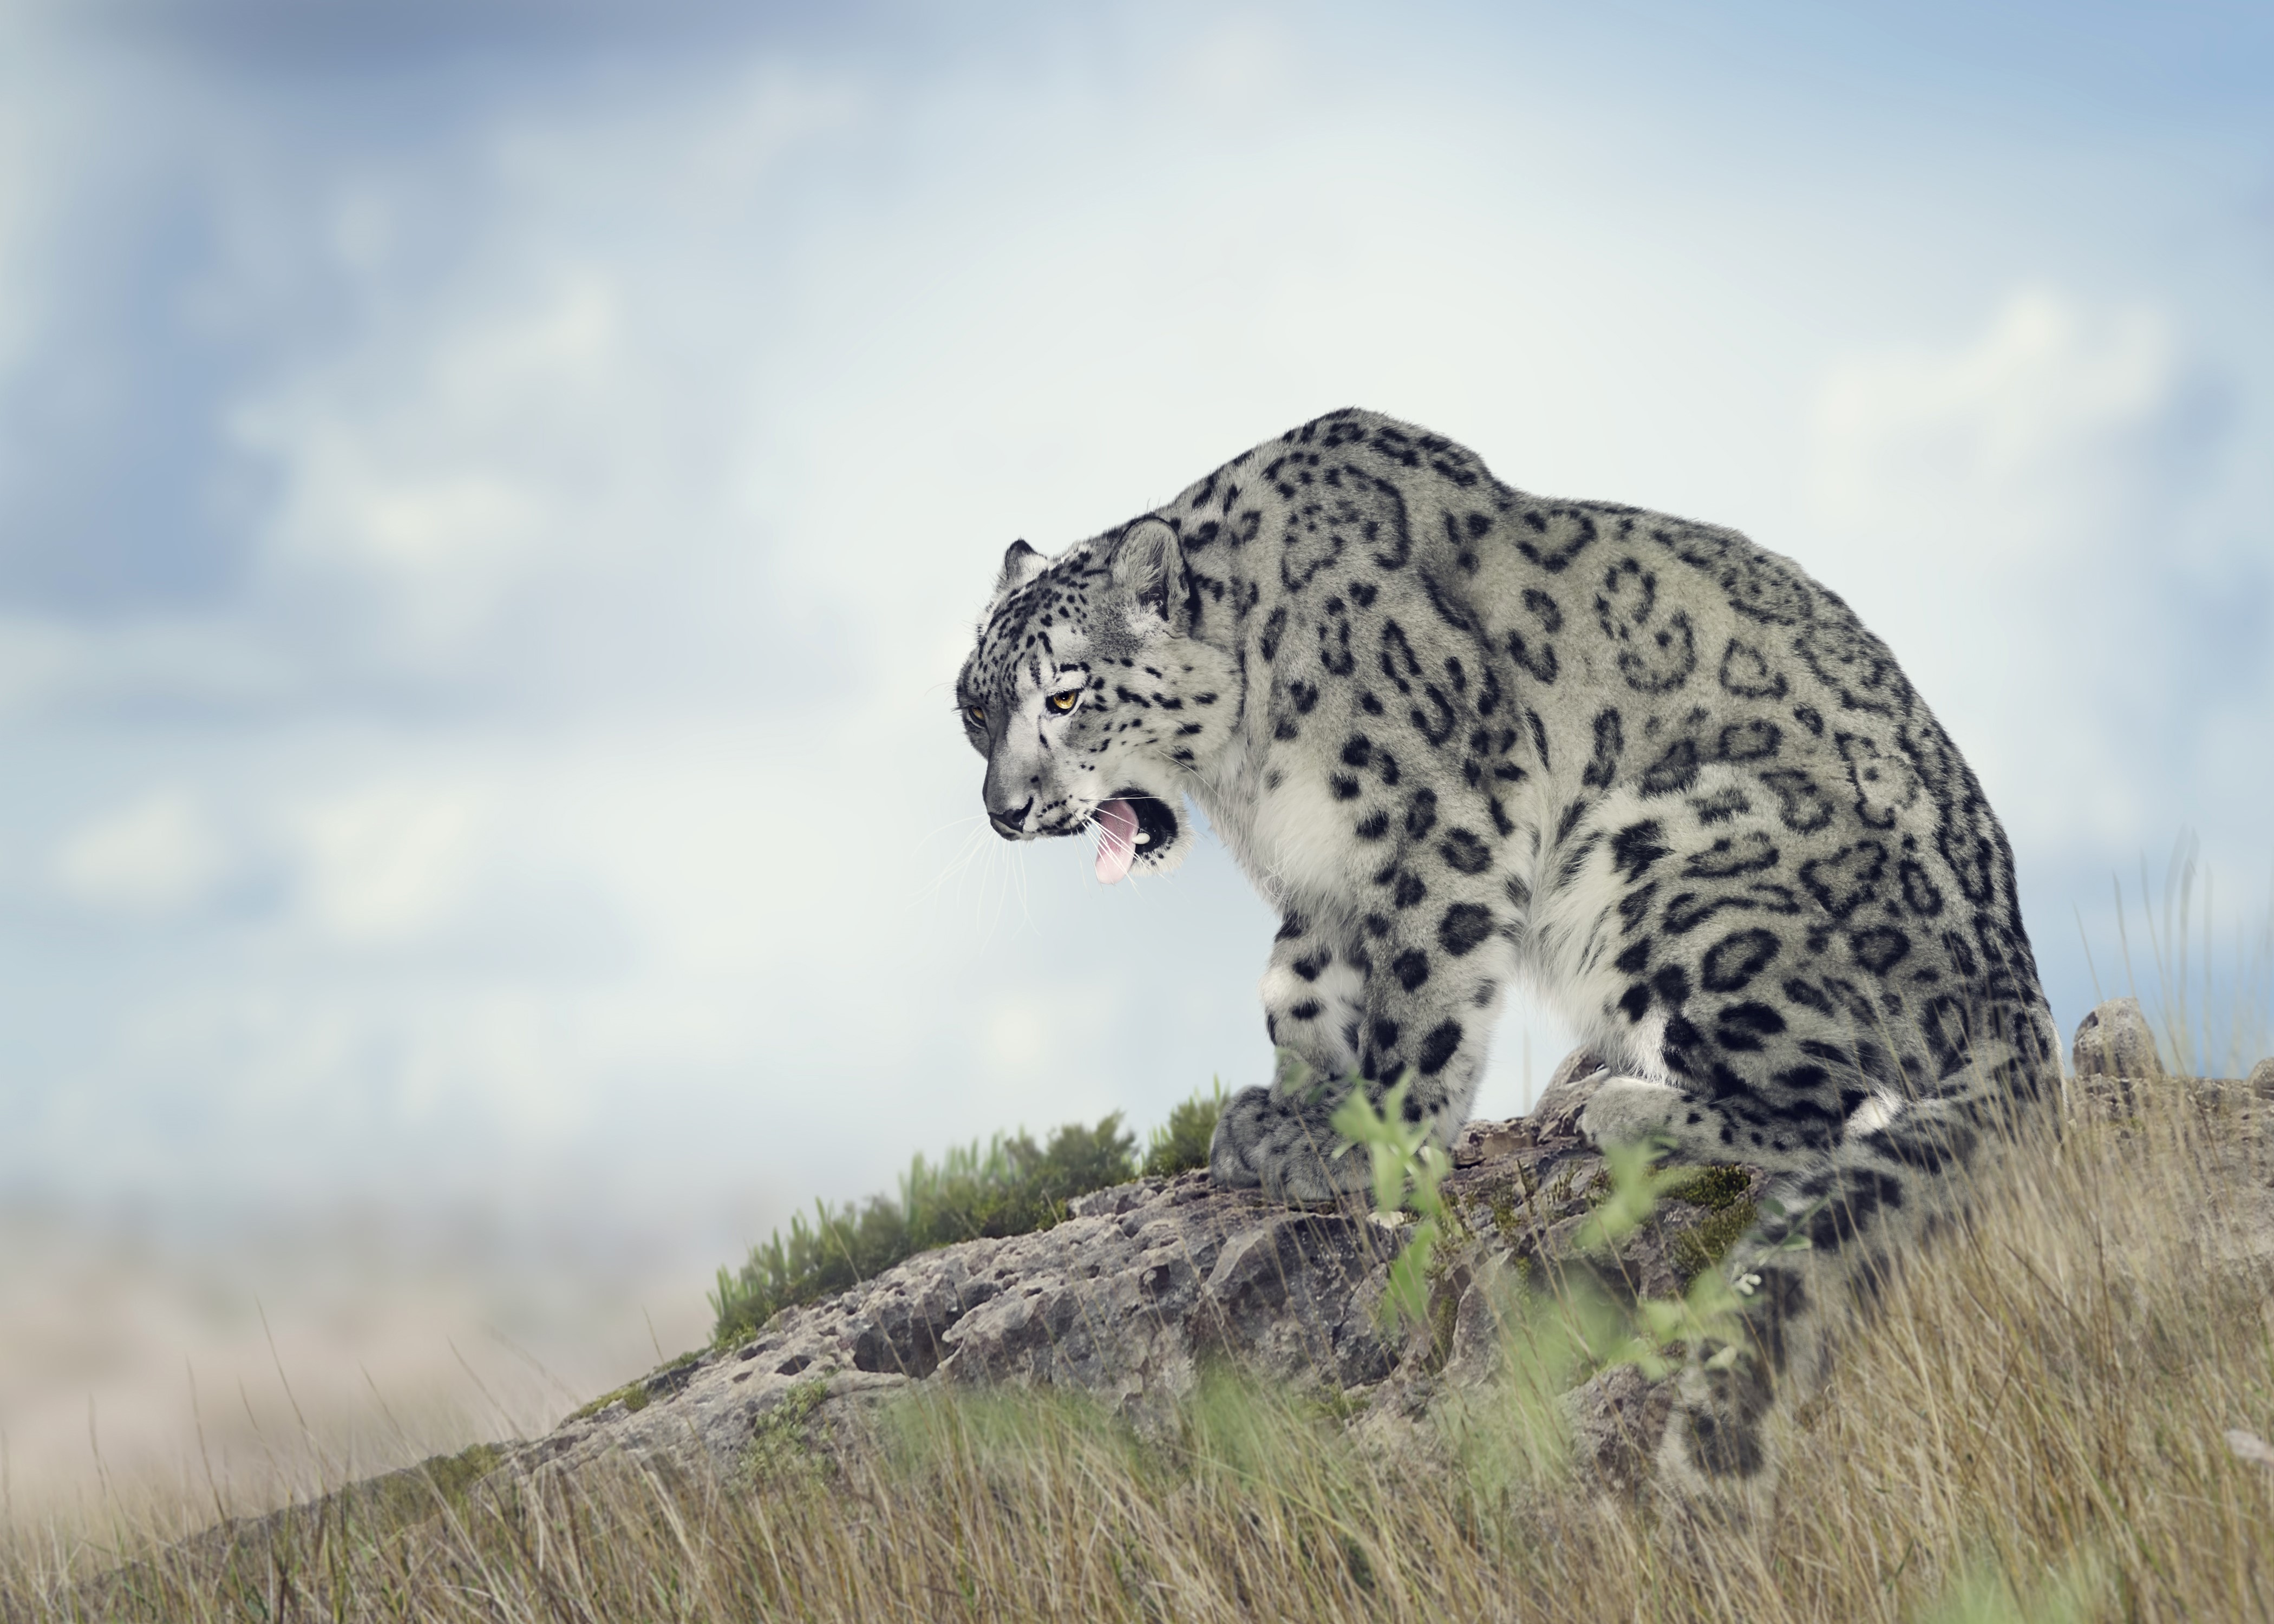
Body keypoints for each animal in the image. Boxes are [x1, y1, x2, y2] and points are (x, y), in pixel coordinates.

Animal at [953, 407, 2060, 1511]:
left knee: (1832, 1102)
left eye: (1065, 697)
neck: (1241, 769)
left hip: (1663, 868)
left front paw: (1371, 1145)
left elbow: (1419, 1001)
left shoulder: (1440, 820)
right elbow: (1296, 991)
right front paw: (1289, 1112)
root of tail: (2015, 988)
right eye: (974, 708)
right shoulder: (1325, 880)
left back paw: (1619, 1105)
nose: (1005, 811)